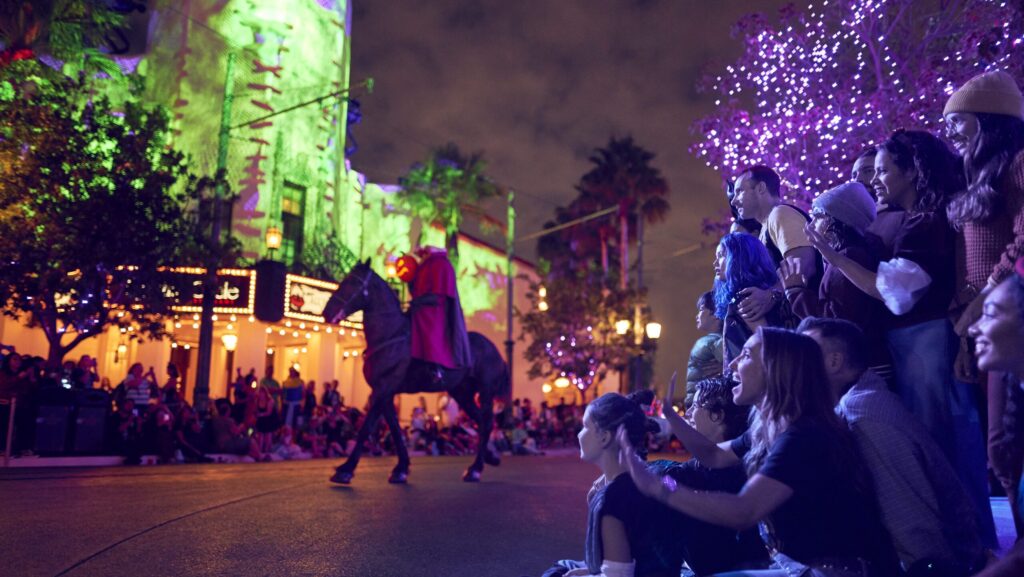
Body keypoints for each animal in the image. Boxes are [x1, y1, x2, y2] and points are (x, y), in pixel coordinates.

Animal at [321, 260, 509, 483]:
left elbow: (367, 427)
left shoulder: (383, 389)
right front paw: (401, 468)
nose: (327, 312)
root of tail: (496, 350)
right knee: (480, 421)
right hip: (462, 393)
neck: (391, 335)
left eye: (354, 283)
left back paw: (476, 469)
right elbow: (394, 428)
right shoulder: (384, 392)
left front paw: (346, 469)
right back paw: (488, 457)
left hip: (486, 392)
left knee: (487, 422)